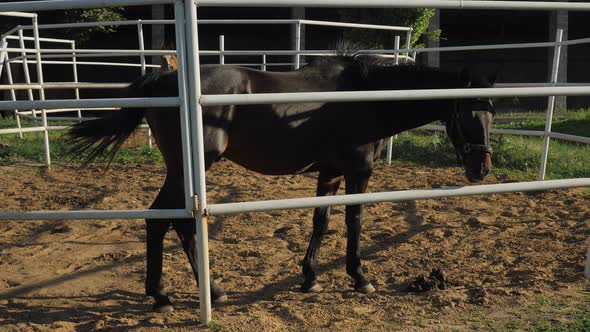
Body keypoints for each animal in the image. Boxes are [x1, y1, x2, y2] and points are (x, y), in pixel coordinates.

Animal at [67, 45, 498, 312]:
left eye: (492, 113)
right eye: (467, 112)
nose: (481, 169)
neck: (365, 98)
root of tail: (162, 81)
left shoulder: (330, 173)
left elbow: (321, 222)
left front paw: (309, 278)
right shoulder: (358, 173)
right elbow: (354, 222)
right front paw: (360, 277)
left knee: (168, 222)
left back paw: (179, 293)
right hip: (188, 167)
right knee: (166, 221)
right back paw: (184, 294)